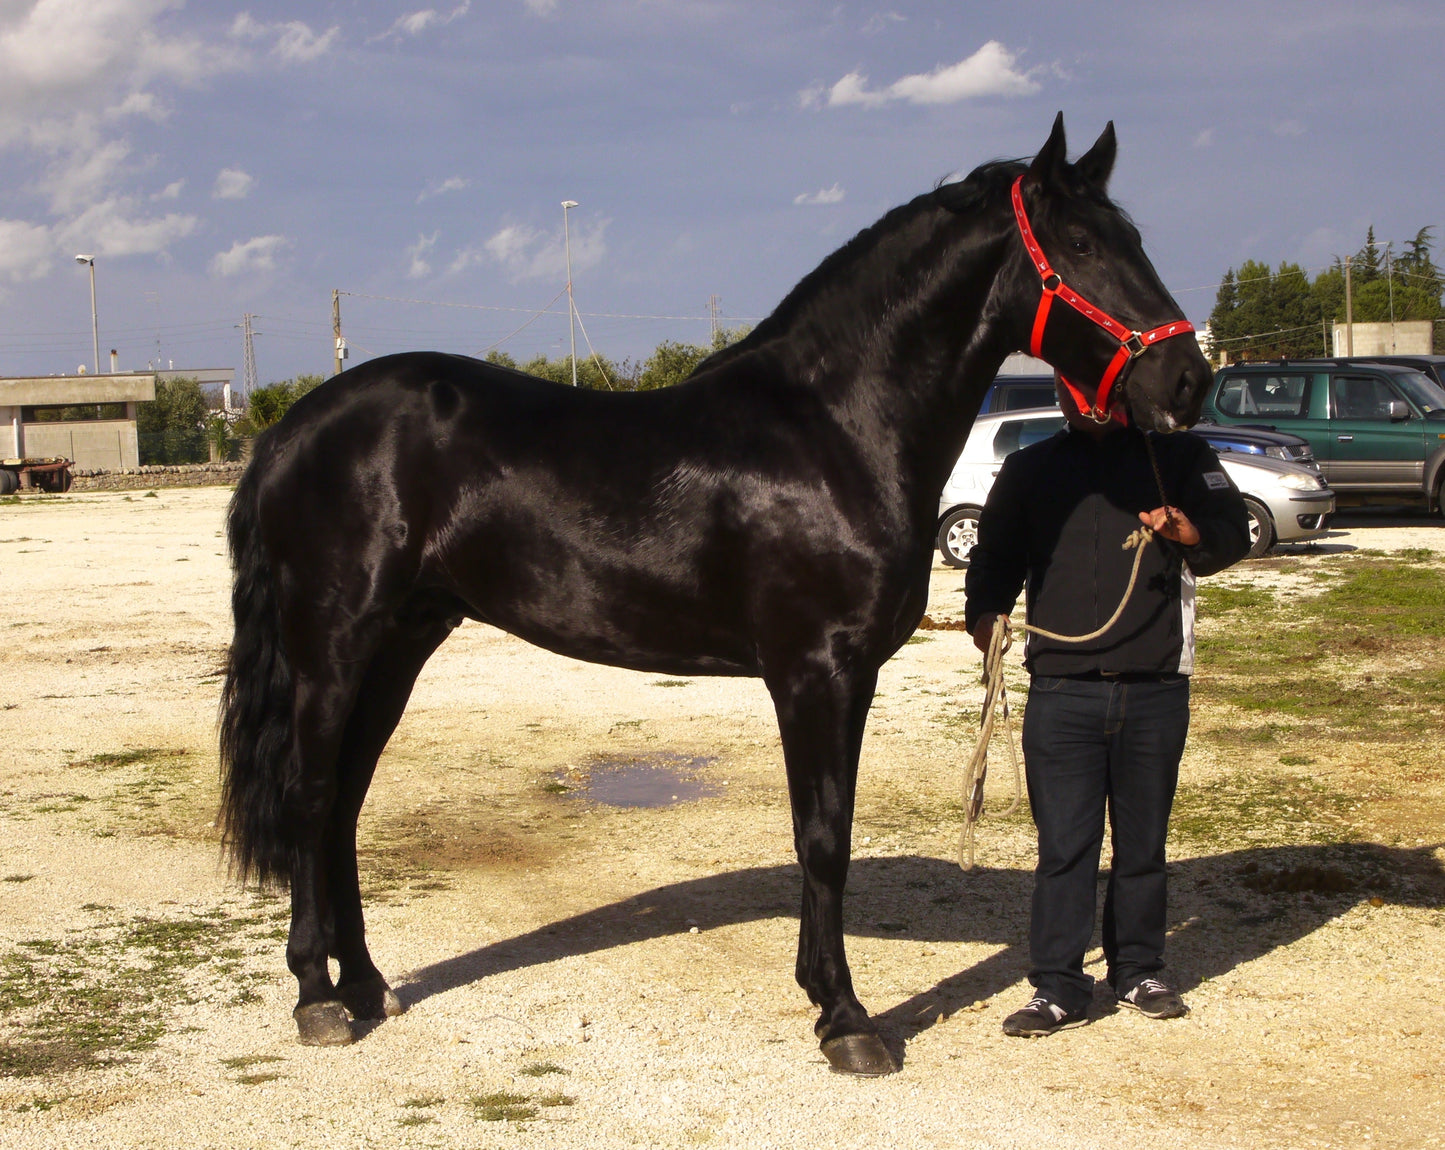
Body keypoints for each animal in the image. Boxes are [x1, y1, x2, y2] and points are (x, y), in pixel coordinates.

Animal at [219, 114, 1213, 1077]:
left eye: (1132, 238)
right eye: (1079, 243)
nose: (1186, 380)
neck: (833, 430)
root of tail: (289, 432)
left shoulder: (849, 679)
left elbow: (829, 831)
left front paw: (826, 999)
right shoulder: (814, 673)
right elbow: (822, 838)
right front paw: (847, 1022)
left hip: (402, 642)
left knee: (344, 806)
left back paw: (366, 984)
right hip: (333, 644)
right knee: (312, 796)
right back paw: (317, 1001)